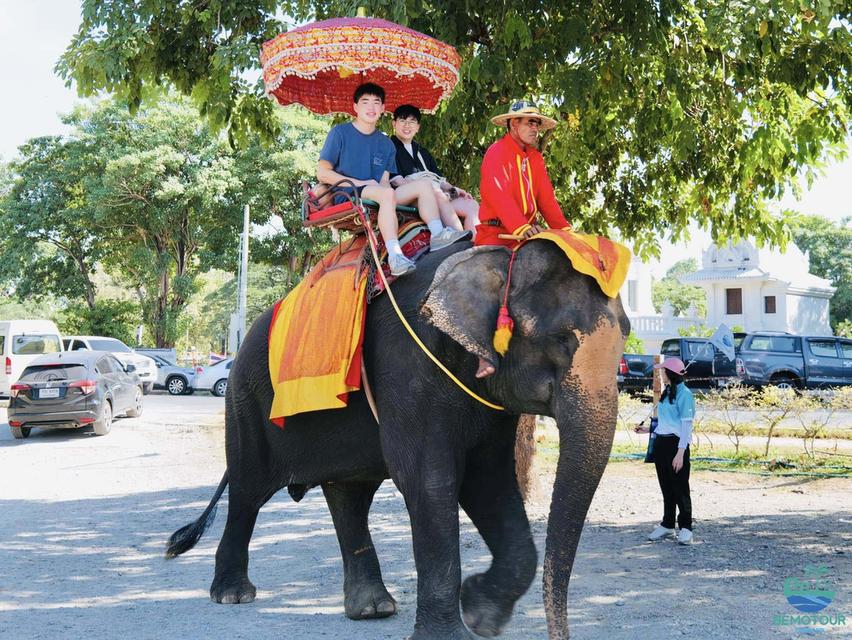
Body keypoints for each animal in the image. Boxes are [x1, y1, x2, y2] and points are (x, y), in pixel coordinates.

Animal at [168, 238, 632, 636]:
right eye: (560, 340)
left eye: (625, 337)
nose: (560, 634)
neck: (492, 253)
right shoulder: (407, 368)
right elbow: (430, 482)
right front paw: (457, 629)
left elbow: (490, 481)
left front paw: (480, 615)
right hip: (244, 400)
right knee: (248, 489)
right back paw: (233, 595)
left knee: (349, 497)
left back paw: (373, 608)